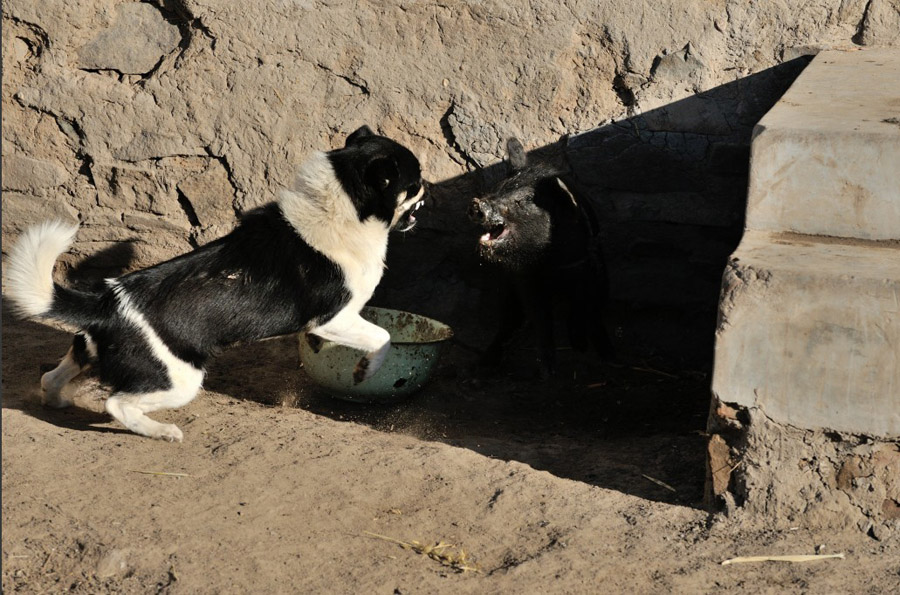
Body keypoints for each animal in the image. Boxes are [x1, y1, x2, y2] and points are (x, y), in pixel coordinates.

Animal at [4, 127, 426, 442]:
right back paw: (161, 431)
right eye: (414, 181)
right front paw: (364, 372)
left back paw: (57, 401)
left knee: (52, 375)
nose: (428, 187)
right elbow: (382, 338)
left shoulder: (330, 324)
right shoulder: (335, 317)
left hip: (92, 352)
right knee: (117, 404)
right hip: (181, 380)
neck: (342, 207)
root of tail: (107, 301)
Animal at [468, 139, 616, 378]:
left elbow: (590, 311)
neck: (551, 260)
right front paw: (547, 372)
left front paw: (604, 356)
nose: (477, 203)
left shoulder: (587, 266)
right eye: (498, 188)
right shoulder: (526, 278)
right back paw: (482, 367)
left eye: (522, 200)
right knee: (509, 318)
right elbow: (540, 316)